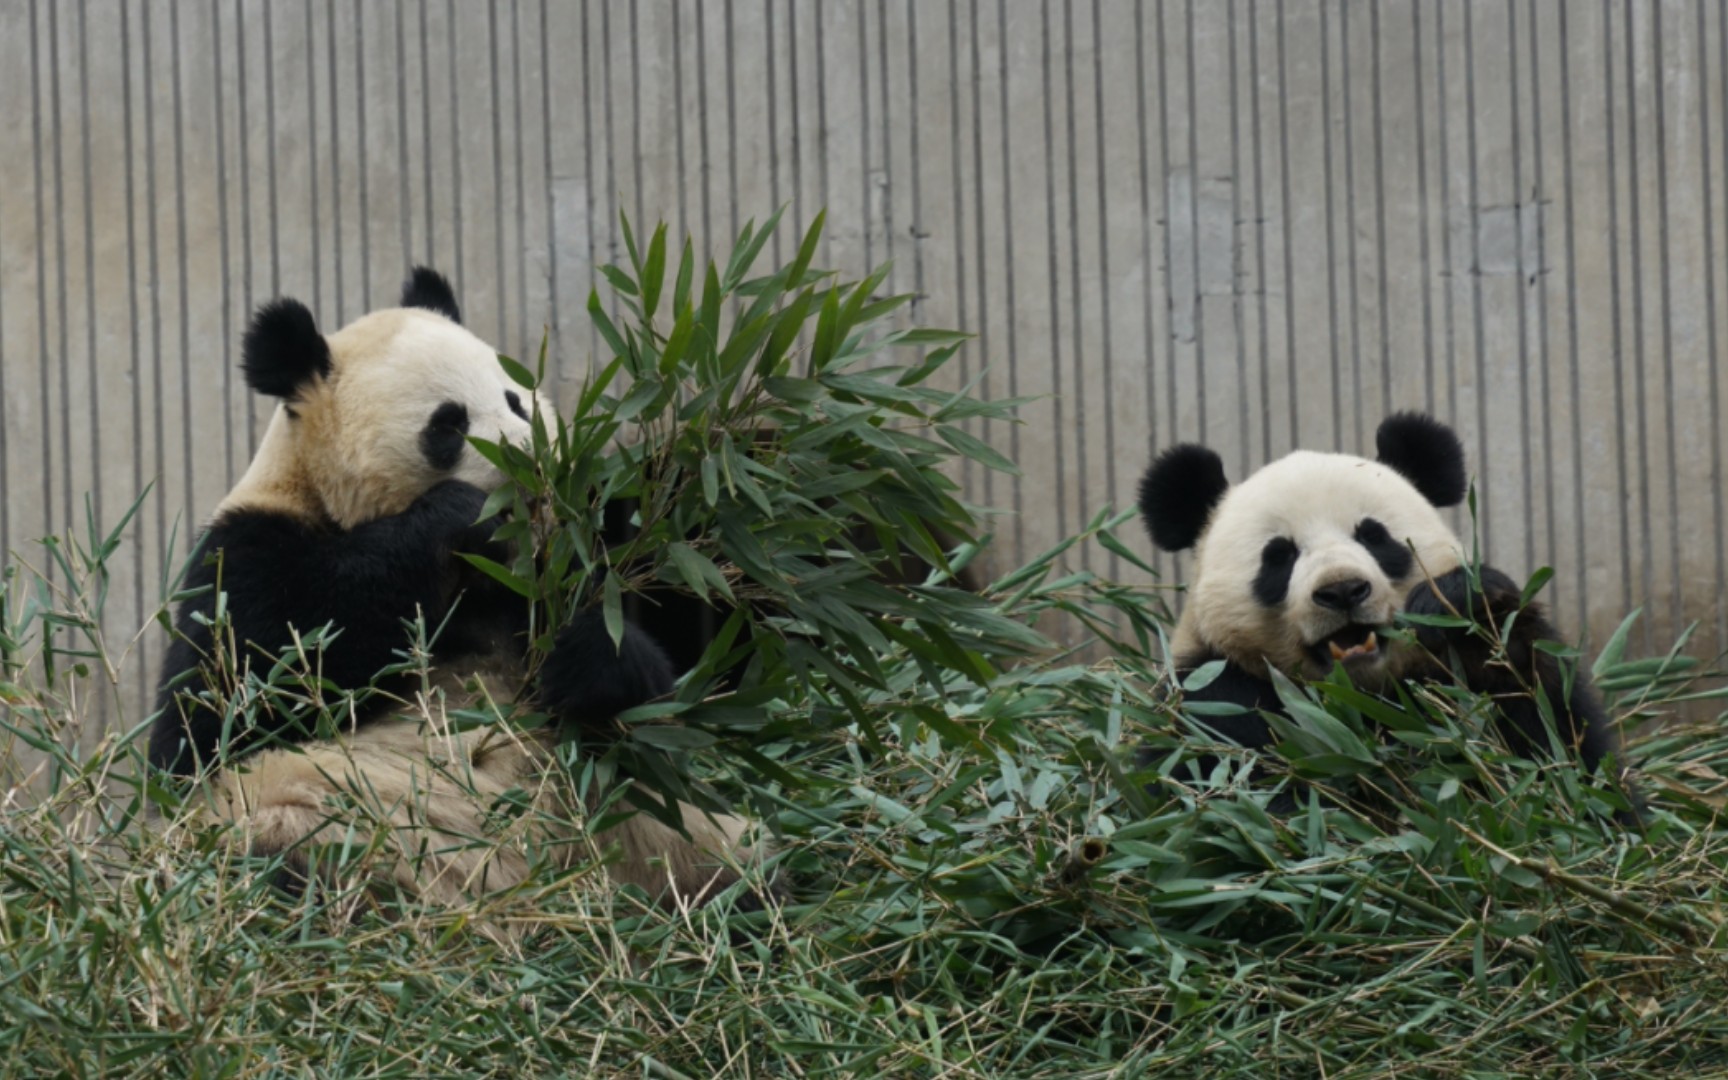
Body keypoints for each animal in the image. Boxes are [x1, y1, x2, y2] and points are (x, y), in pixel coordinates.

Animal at [148, 269, 770, 919]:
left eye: (517, 399)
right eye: (448, 424)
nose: (534, 462)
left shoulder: (582, 555)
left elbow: (669, 690)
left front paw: (586, 658)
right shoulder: (242, 557)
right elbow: (227, 707)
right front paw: (459, 518)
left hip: (661, 832)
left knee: (726, 864)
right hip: (330, 820)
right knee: (277, 858)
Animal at [1140, 412, 1624, 808]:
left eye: (1374, 536)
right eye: (1279, 556)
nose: (1342, 590)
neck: (1362, 696)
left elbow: (1555, 748)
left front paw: (1463, 605)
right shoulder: (1213, 695)